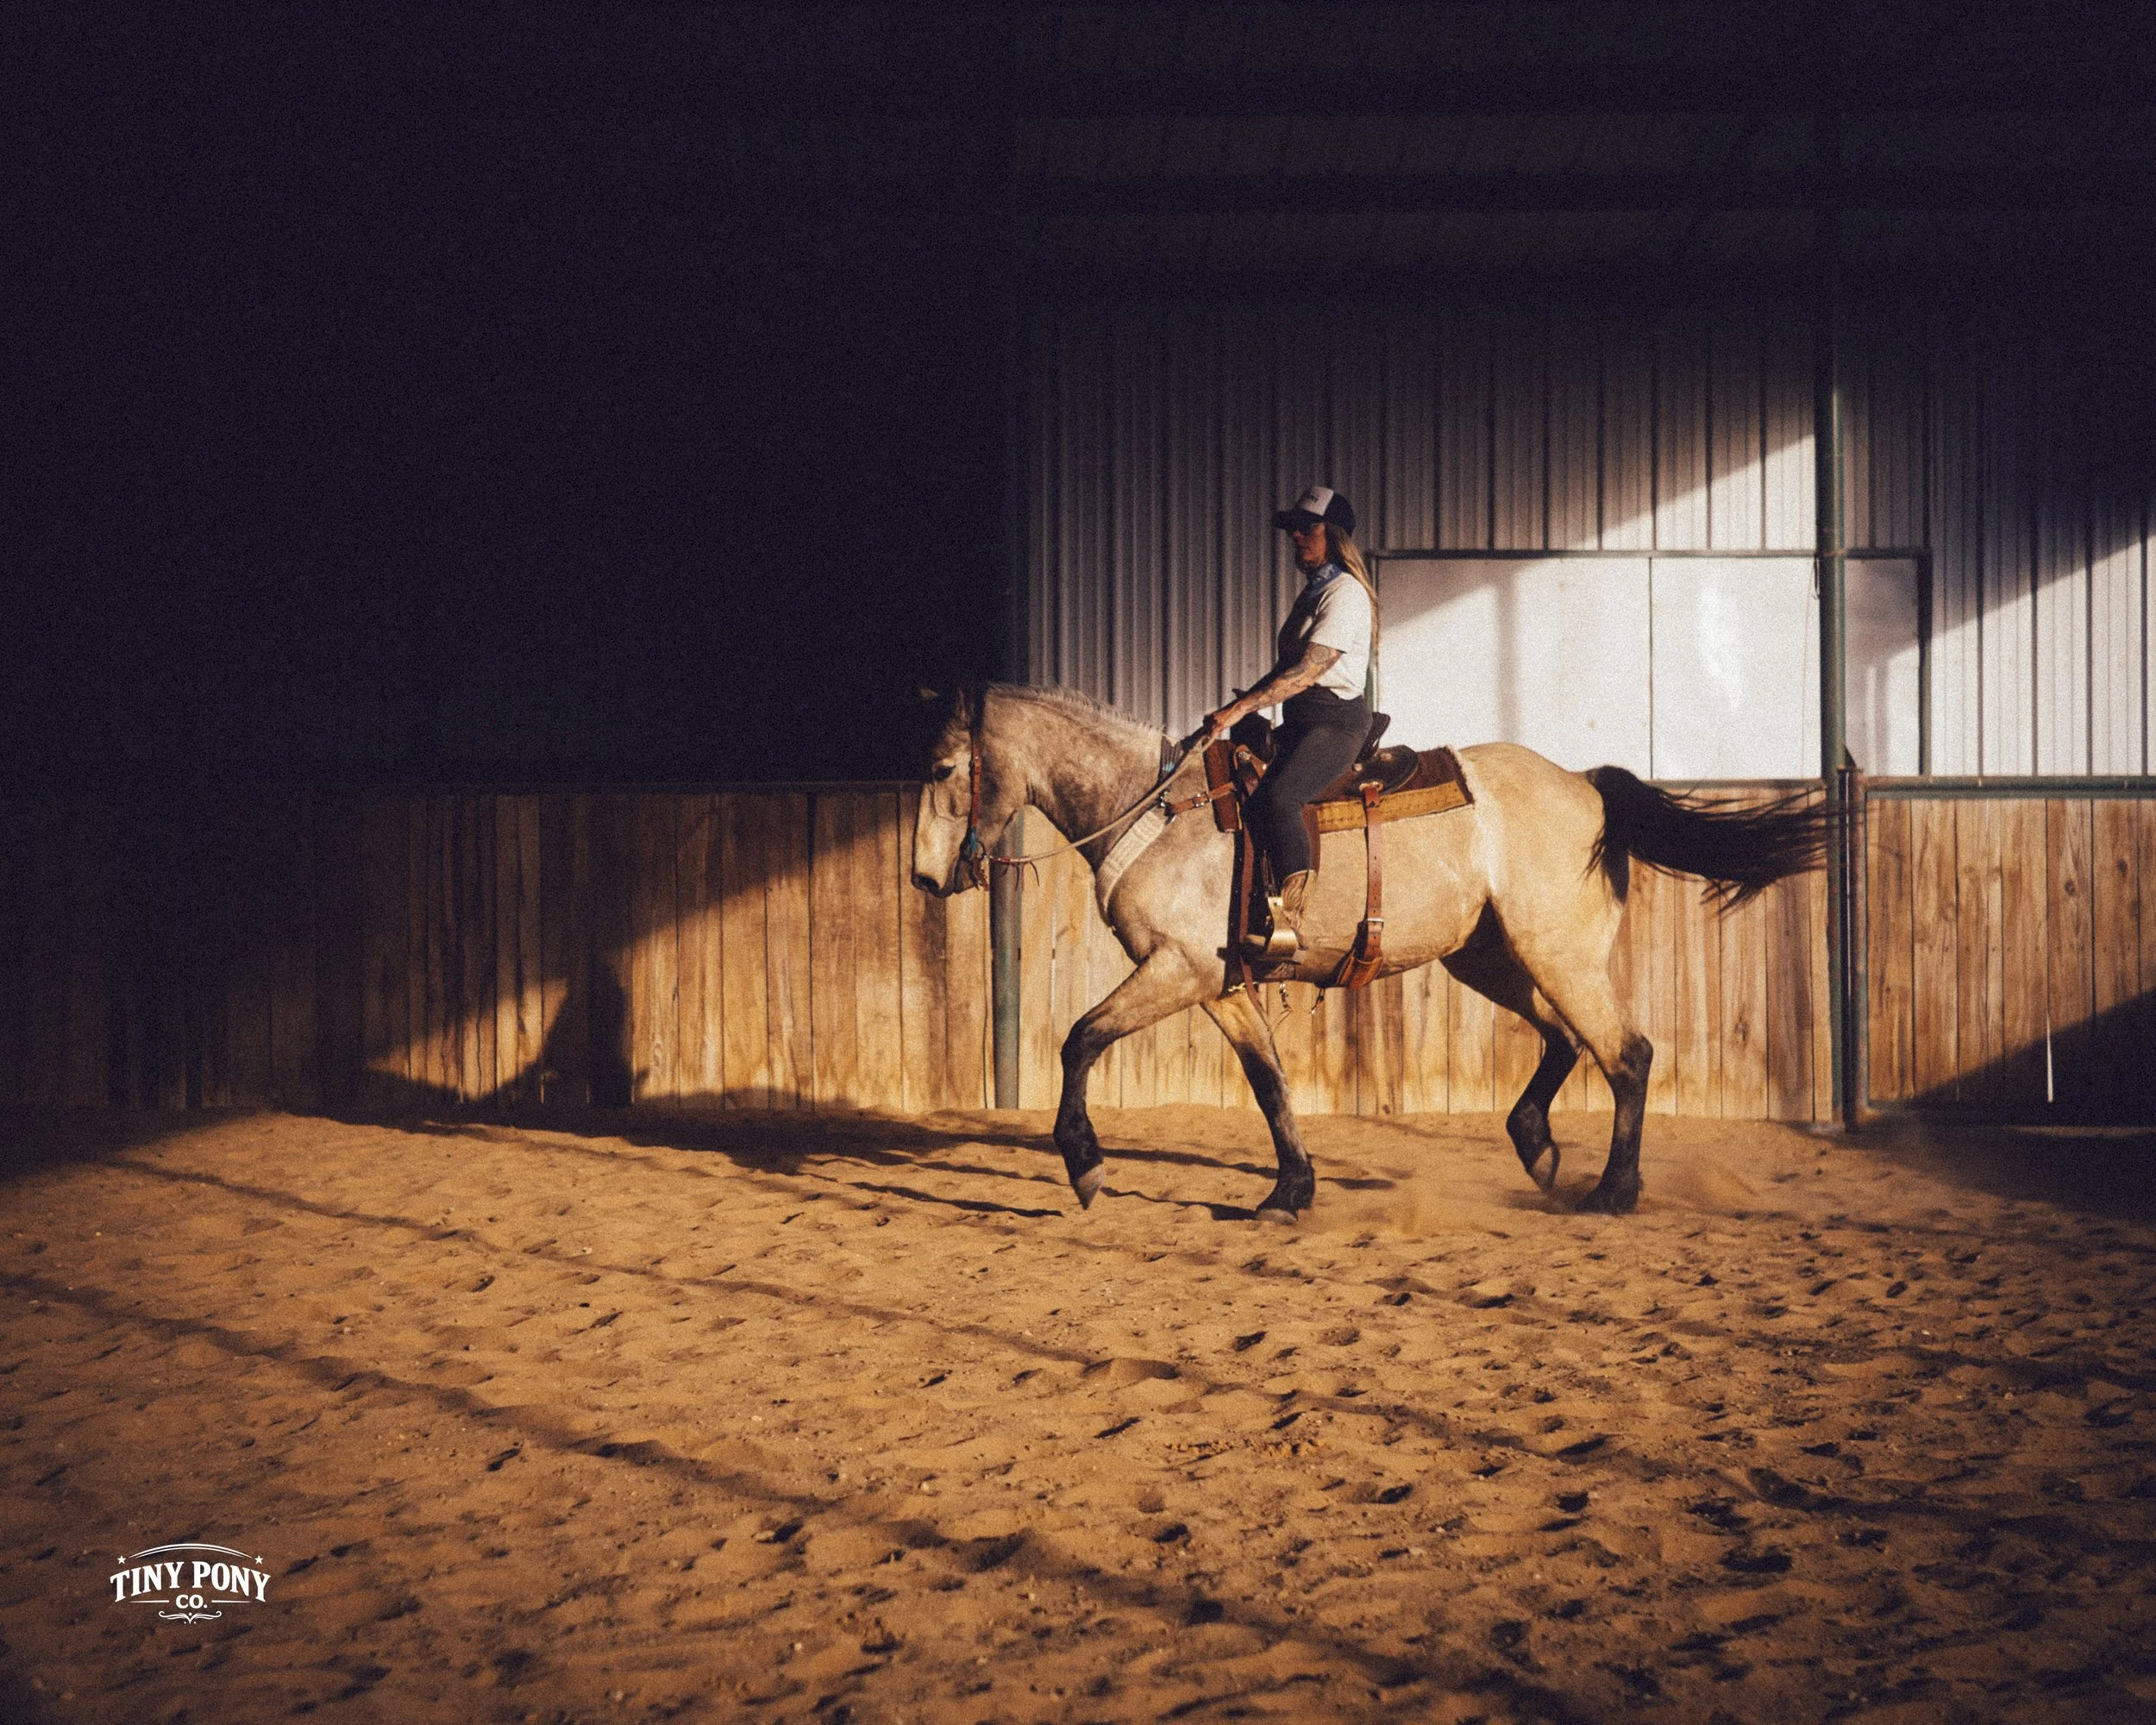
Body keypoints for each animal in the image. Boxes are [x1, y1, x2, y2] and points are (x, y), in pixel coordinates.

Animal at [910, 684, 1828, 1221]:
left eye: (947, 766)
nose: (922, 876)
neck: (1161, 809)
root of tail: (1586, 784)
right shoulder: (1219, 983)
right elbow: (1269, 1082)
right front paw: (1290, 1191)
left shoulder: (1178, 967)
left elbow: (1080, 1039)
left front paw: (1085, 1166)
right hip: (1491, 957)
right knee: (1568, 1040)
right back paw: (1537, 1147)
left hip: (1554, 953)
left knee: (1625, 1053)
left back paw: (1612, 1191)